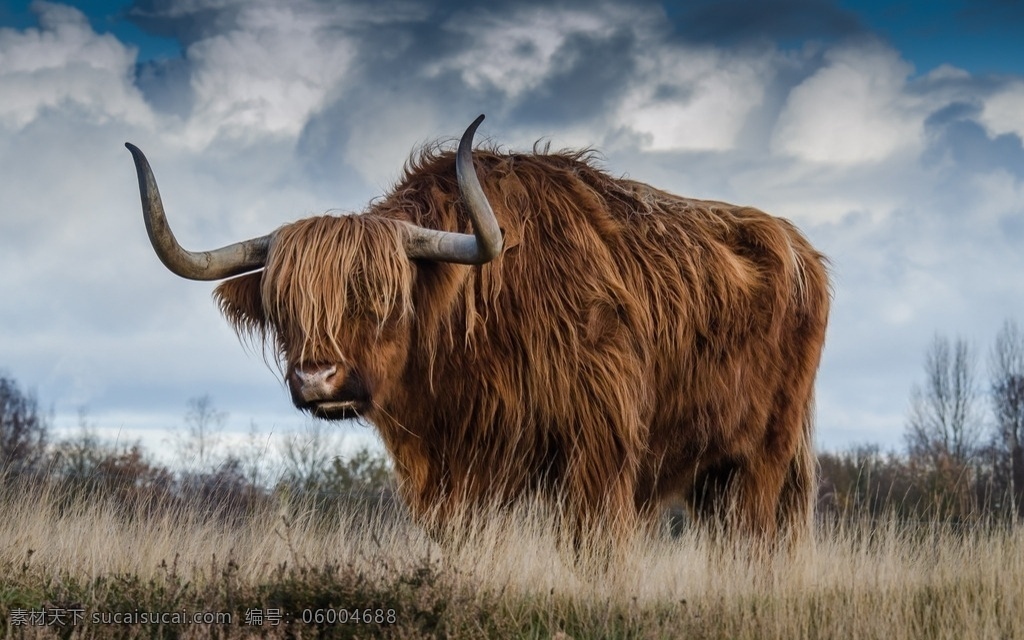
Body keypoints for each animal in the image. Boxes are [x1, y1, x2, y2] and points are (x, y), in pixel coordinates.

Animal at [128, 114, 831, 544]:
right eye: (283, 307)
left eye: (384, 298)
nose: (316, 378)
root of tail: (799, 247)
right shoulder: (451, 472)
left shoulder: (599, 452)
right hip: (715, 470)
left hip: (764, 456)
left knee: (753, 539)